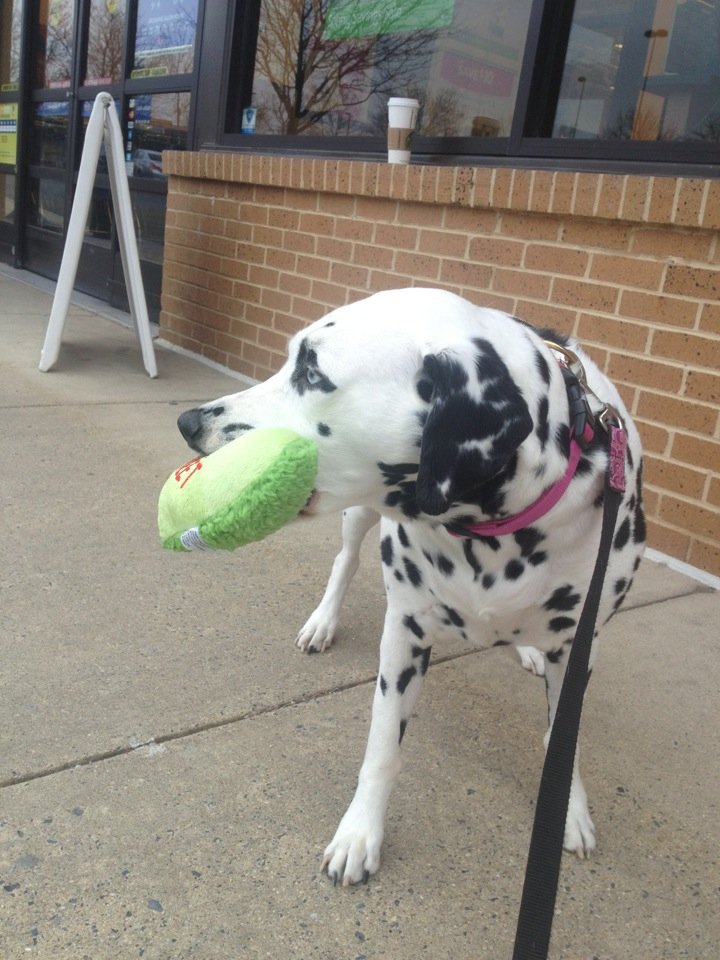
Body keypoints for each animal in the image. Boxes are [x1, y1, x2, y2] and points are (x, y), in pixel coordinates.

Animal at [177, 288, 645, 886]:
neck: (493, 535)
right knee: (344, 561)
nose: (189, 421)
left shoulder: (579, 647)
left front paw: (571, 809)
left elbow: (564, 738)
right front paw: (360, 833)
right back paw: (323, 622)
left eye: (312, 371)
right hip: (357, 518)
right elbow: (382, 748)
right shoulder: (405, 634)